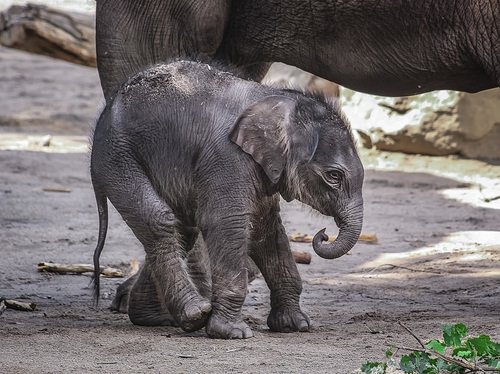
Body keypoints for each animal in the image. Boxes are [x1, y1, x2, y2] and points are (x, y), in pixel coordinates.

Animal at [91, 60, 364, 338]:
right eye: (333, 175)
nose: (324, 234)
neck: (277, 99)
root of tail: (105, 113)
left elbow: (266, 230)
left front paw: (294, 325)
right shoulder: (227, 158)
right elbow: (227, 222)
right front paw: (232, 332)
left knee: (182, 230)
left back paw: (154, 317)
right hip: (118, 157)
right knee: (159, 220)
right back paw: (194, 314)